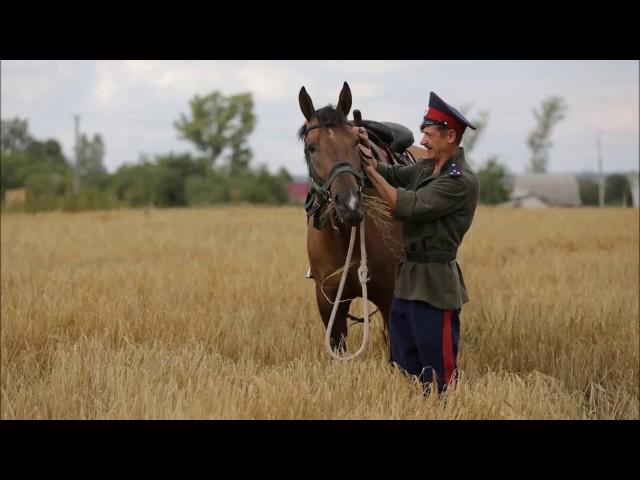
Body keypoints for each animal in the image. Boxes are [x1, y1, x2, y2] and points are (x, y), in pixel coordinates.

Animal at [298, 81, 428, 356]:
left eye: (355, 142)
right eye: (311, 147)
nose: (350, 204)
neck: (344, 236)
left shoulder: (388, 295)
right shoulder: (329, 301)